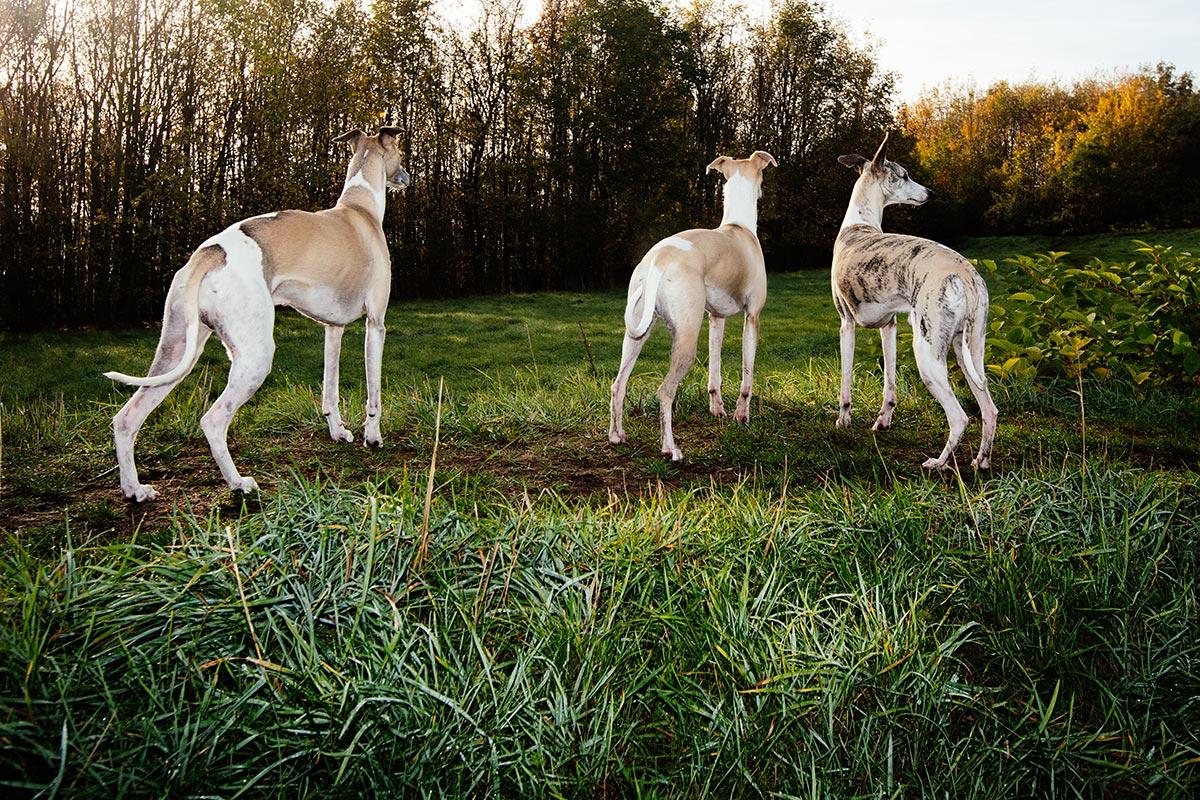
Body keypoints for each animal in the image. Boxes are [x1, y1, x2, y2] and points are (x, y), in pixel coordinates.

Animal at [105, 126, 410, 501]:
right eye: (400, 152)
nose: (406, 178)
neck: (359, 207)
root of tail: (209, 252)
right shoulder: (375, 325)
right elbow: (373, 392)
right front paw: (373, 436)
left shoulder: (332, 328)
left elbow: (330, 389)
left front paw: (338, 432)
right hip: (255, 357)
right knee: (213, 420)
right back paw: (239, 483)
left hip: (175, 352)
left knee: (127, 418)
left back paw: (135, 489)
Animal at [609, 152, 777, 460]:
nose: (762, 191)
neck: (738, 227)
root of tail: (658, 259)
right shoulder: (752, 318)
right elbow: (747, 377)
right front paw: (742, 415)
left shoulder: (715, 319)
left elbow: (715, 373)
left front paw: (717, 409)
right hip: (686, 339)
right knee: (665, 391)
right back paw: (670, 448)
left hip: (637, 334)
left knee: (618, 384)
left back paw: (616, 436)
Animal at [830, 133, 998, 470]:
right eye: (905, 175)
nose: (931, 193)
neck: (859, 225)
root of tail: (966, 274)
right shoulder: (890, 327)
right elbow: (890, 383)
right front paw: (883, 421)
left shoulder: (846, 323)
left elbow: (845, 382)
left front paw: (843, 420)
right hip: (970, 352)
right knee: (989, 408)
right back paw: (981, 461)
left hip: (928, 354)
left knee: (959, 417)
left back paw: (939, 462)